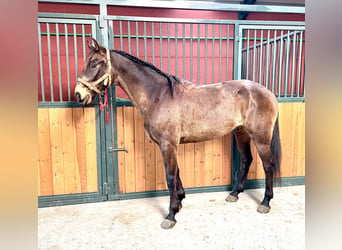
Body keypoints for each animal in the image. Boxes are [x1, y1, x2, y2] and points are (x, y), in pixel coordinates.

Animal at [74, 38, 280, 229]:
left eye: (95, 63)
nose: (78, 95)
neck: (159, 95)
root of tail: (267, 92)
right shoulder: (170, 145)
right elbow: (177, 172)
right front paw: (180, 201)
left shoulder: (168, 144)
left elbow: (170, 176)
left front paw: (171, 214)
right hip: (241, 133)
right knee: (246, 160)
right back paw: (234, 194)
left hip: (261, 138)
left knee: (268, 165)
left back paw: (265, 202)